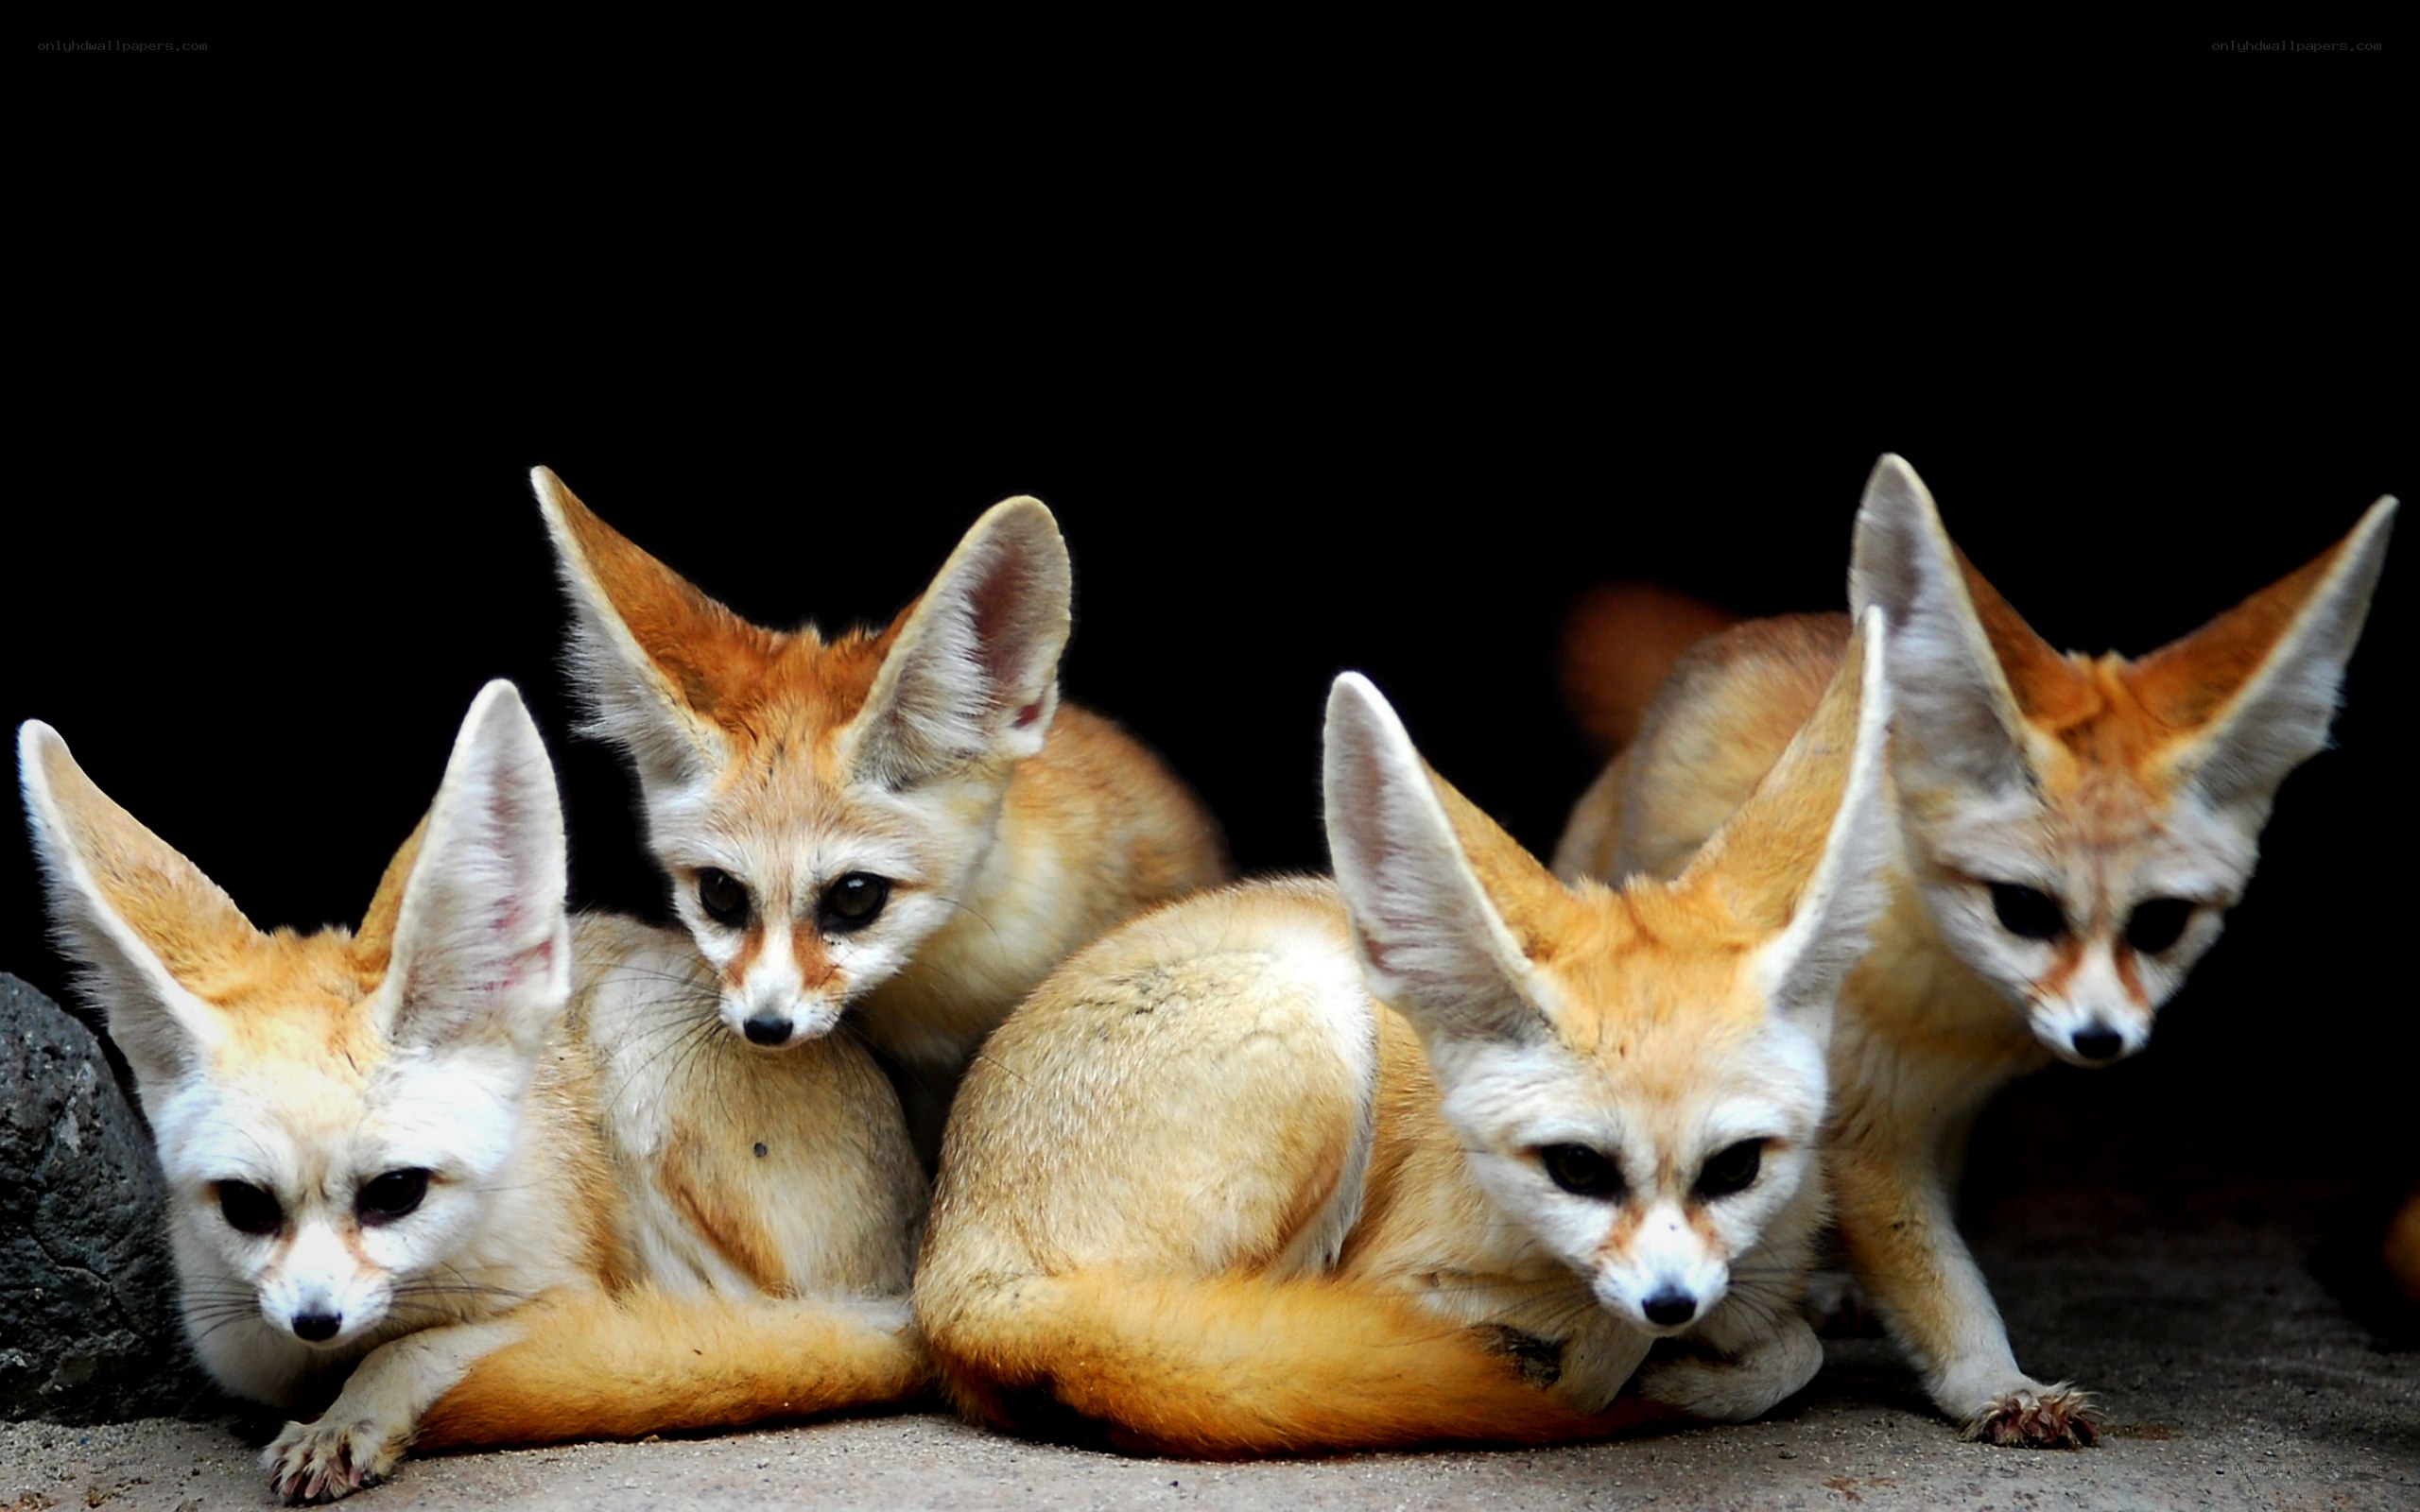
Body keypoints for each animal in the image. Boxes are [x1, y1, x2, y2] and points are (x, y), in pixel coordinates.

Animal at [20, 682, 925, 1504]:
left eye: (396, 1193)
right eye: (246, 1206)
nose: (316, 1319)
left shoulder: (565, 1295)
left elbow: (422, 1348)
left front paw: (353, 1414)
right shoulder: (243, 1342)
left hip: (640, 1048)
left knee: (764, 1337)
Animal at [915, 617, 1894, 1456]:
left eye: (1736, 1168)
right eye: (1577, 1168)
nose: (1671, 1304)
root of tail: (951, 1267)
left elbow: (1793, 1345)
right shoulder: (1396, 1276)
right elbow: (1615, 1345)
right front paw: (1632, 1373)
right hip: (1316, 1030)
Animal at [1552, 454, 2397, 1446]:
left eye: (2159, 924)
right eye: (2021, 909)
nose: (2100, 1039)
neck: (1958, 1017)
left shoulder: (1929, 1116)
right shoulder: (1856, 1128)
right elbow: (1935, 1278)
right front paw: (1996, 1382)